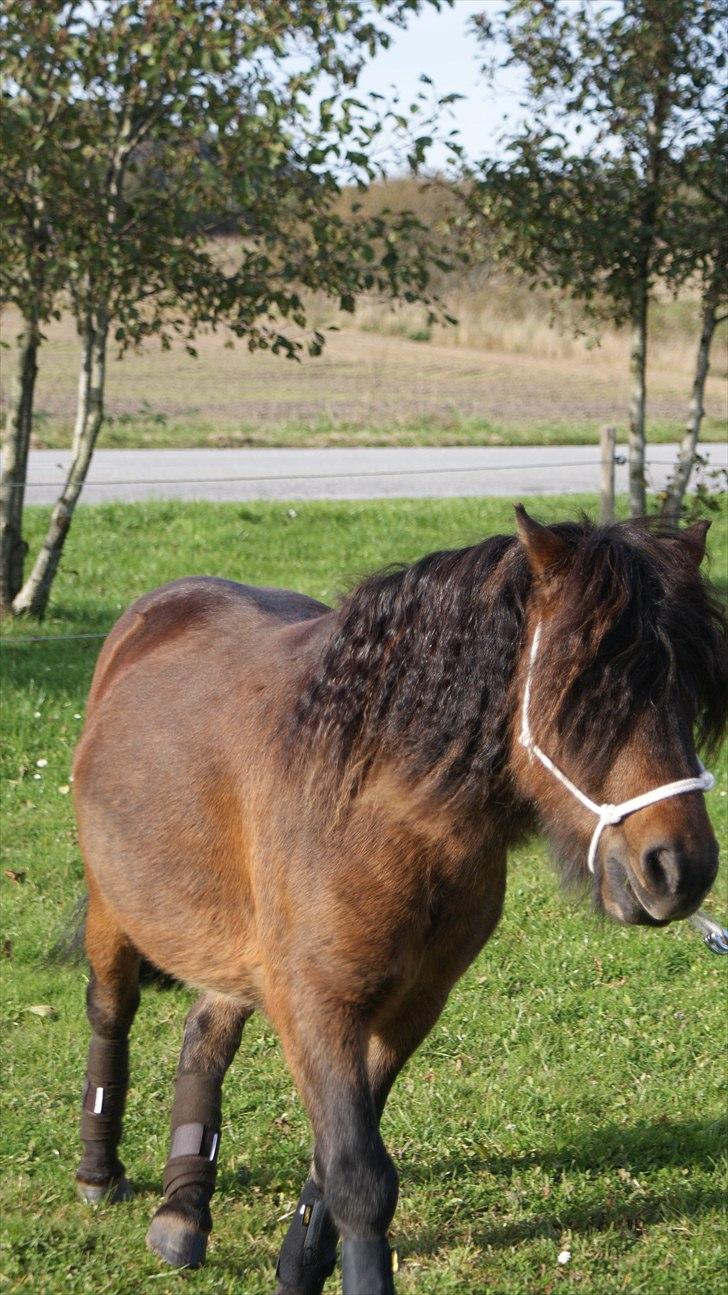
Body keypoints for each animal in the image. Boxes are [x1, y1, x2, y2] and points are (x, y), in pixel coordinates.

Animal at [70, 510, 720, 1289]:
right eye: (586, 691)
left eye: (691, 691)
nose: (680, 869)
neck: (375, 811)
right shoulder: (316, 1007)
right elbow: (358, 1176)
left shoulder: (411, 1005)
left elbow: (337, 1161)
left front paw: (299, 1263)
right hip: (115, 913)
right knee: (111, 1013)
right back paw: (101, 1173)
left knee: (206, 1033)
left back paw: (183, 1209)